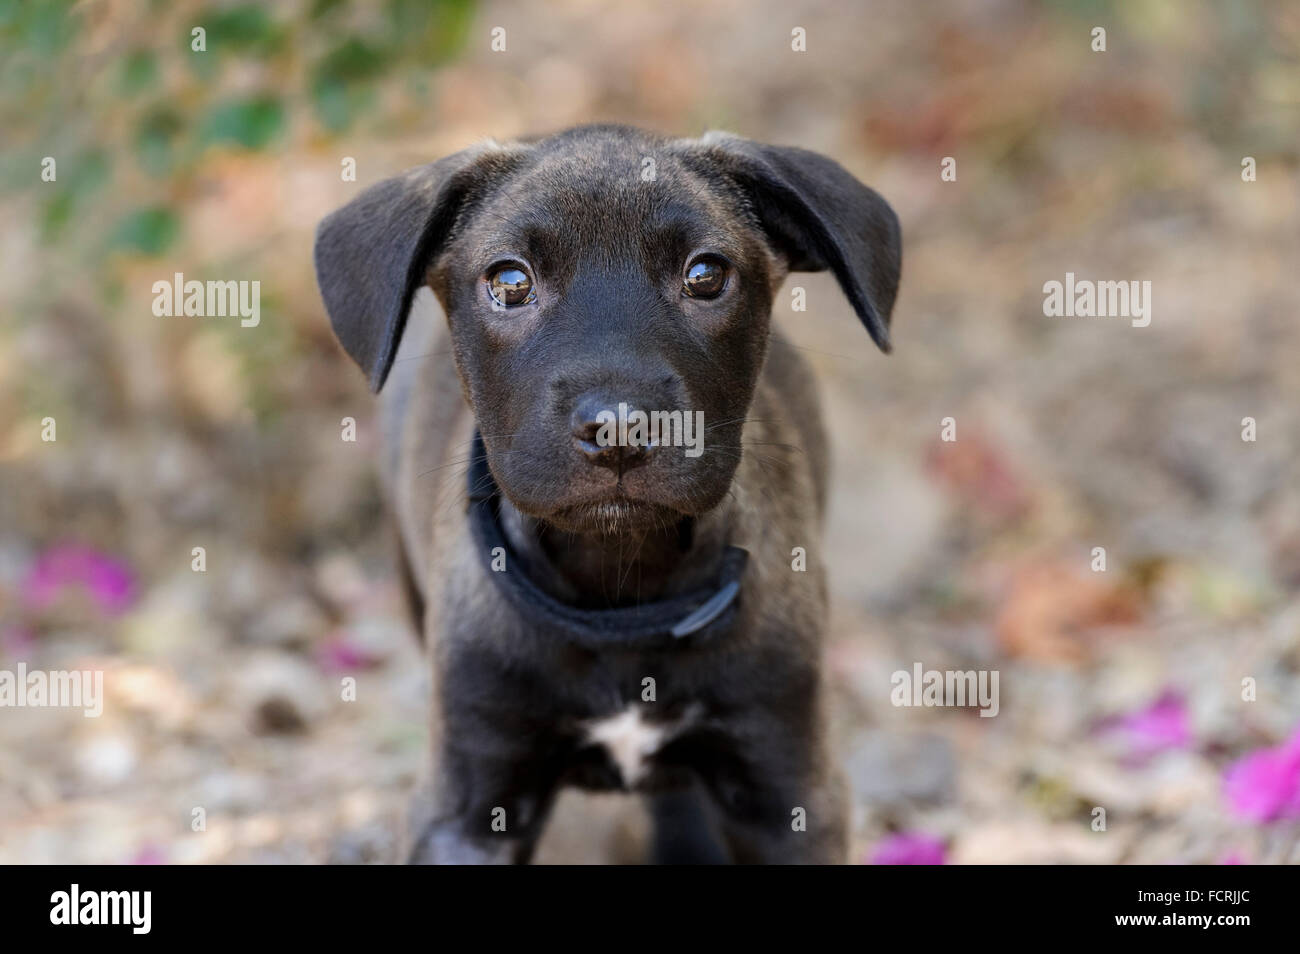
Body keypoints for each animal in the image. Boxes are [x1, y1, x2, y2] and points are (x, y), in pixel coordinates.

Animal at [310, 123, 899, 863]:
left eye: (706, 275)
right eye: (510, 281)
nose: (620, 428)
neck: (620, 592)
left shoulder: (788, 786)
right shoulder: (467, 806)